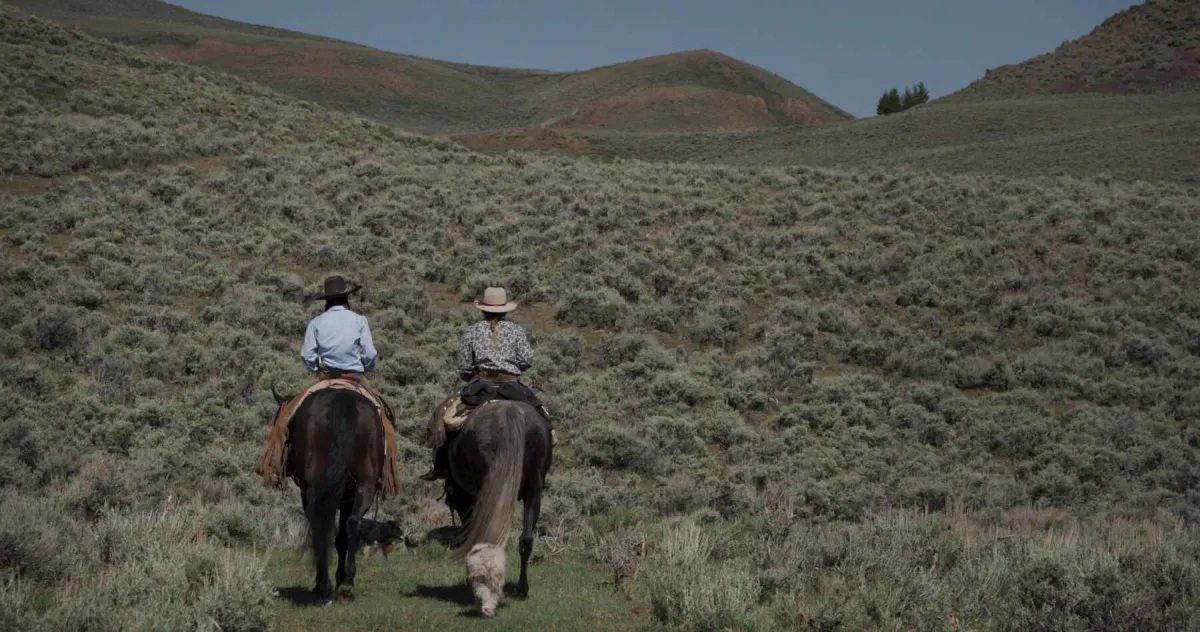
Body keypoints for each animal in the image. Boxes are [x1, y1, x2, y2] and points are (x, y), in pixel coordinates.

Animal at [272, 386, 384, 604]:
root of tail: (345, 404)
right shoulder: (348, 497)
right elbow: (341, 537)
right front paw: (341, 579)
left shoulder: (308, 492)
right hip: (364, 485)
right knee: (353, 522)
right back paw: (347, 585)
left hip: (316, 489)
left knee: (320, 524)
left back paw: (324, 586)